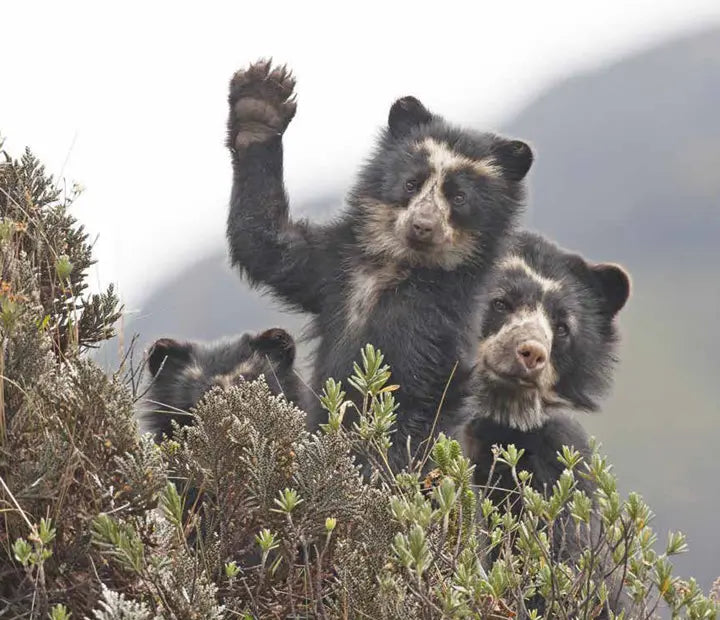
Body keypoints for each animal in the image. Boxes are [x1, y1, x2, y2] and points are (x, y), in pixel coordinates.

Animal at [225, 60, 536, 472]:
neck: (397, 265)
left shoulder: (432, 324)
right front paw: (260, 100)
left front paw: (373, 467)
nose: (422, 226)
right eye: (411, 183)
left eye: (458, 198)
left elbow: (407, 403)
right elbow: (268, 246)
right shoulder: (333, 266)